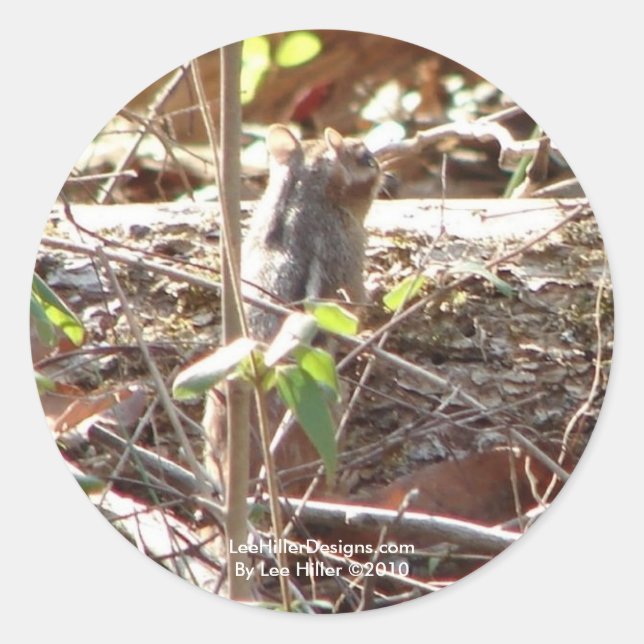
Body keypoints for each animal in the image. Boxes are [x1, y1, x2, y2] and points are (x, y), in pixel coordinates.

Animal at [204, 124, 382, 495]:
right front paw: (378, 288)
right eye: (366, 159)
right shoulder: (349, 259)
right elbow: (358, 308)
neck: (298, 198)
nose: (386, 169)